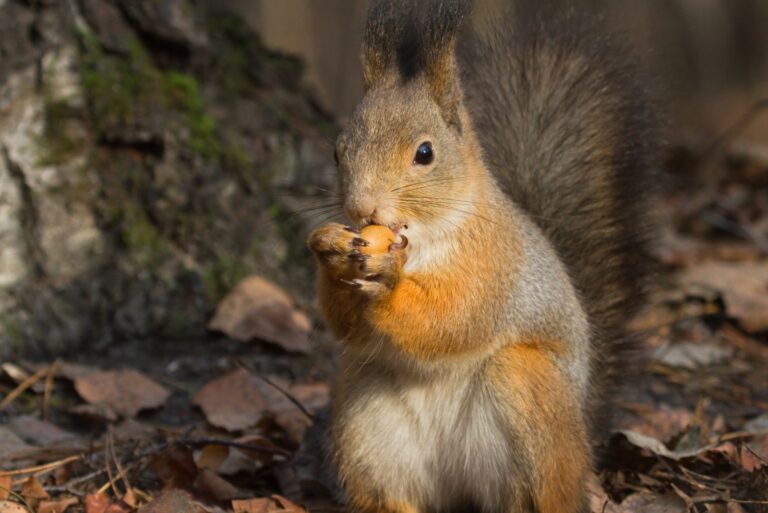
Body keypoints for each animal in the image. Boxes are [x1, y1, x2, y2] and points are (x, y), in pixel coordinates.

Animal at [307, 0, 659, 512]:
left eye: (425, 153)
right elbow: (347, 327)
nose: (363, 208)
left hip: (528, 390)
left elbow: (457, 317)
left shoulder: (494, 261)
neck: (420, 241)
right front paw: (329, 251)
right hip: (363, 413)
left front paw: (389, 284)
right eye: (337, 151)